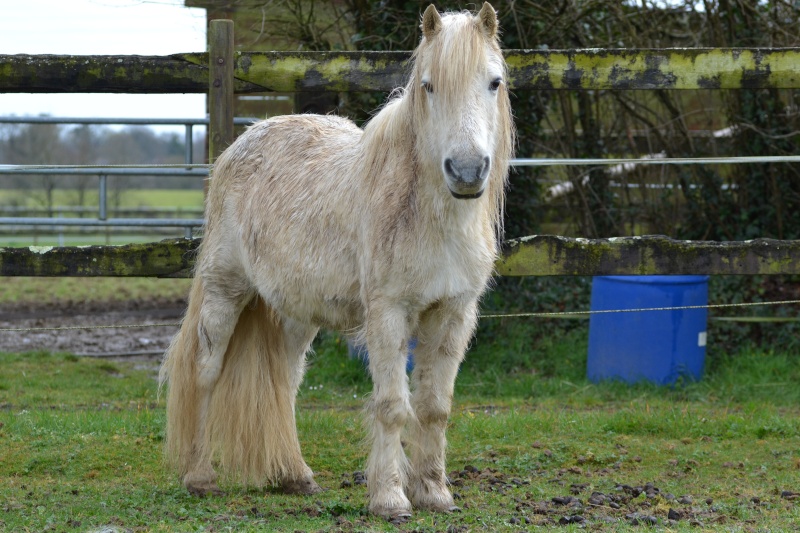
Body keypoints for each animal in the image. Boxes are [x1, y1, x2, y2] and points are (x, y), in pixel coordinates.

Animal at [159, 3, 516, 520]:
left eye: (494, 82)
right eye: (429, 85)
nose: (467, 171)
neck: (426, 214)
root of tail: (240, 145)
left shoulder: (453, 314)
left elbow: (435, 407)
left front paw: (434, 492)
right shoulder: (387, 314)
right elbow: (392, 405)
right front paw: (390, 498)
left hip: (295, 313)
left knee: (284, 384)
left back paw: (295, 475)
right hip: (226, 289)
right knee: (206, 371)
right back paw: (200, 476)